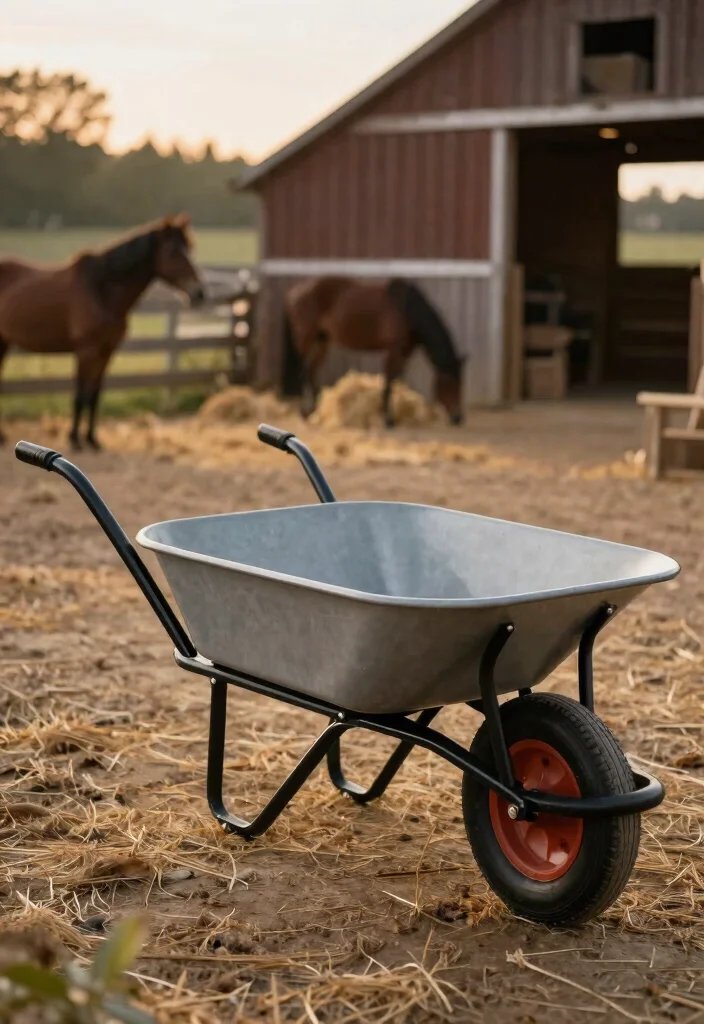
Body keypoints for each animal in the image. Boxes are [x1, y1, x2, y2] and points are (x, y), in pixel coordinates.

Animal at [0, 215, 205, 450]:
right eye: (173, 251)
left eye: (189, 248)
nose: (199, 293)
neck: (101, 291)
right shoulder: (85, 352)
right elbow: (80, 395)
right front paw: (74, 439)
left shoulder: (106, 352)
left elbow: (94, 396)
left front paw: (92, 439)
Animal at [284, 276, 465, 426]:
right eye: (449, 381)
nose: (458, 418)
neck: (407, 311)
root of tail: (295, 291)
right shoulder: (393, 351)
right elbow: (388, 383)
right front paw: (388, 420)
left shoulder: (405, 353)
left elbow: (397, 381)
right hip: (306, 340)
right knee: (303, 372)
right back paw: (304, 411)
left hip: (322, 340)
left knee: (312, 371)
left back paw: (314, 411)